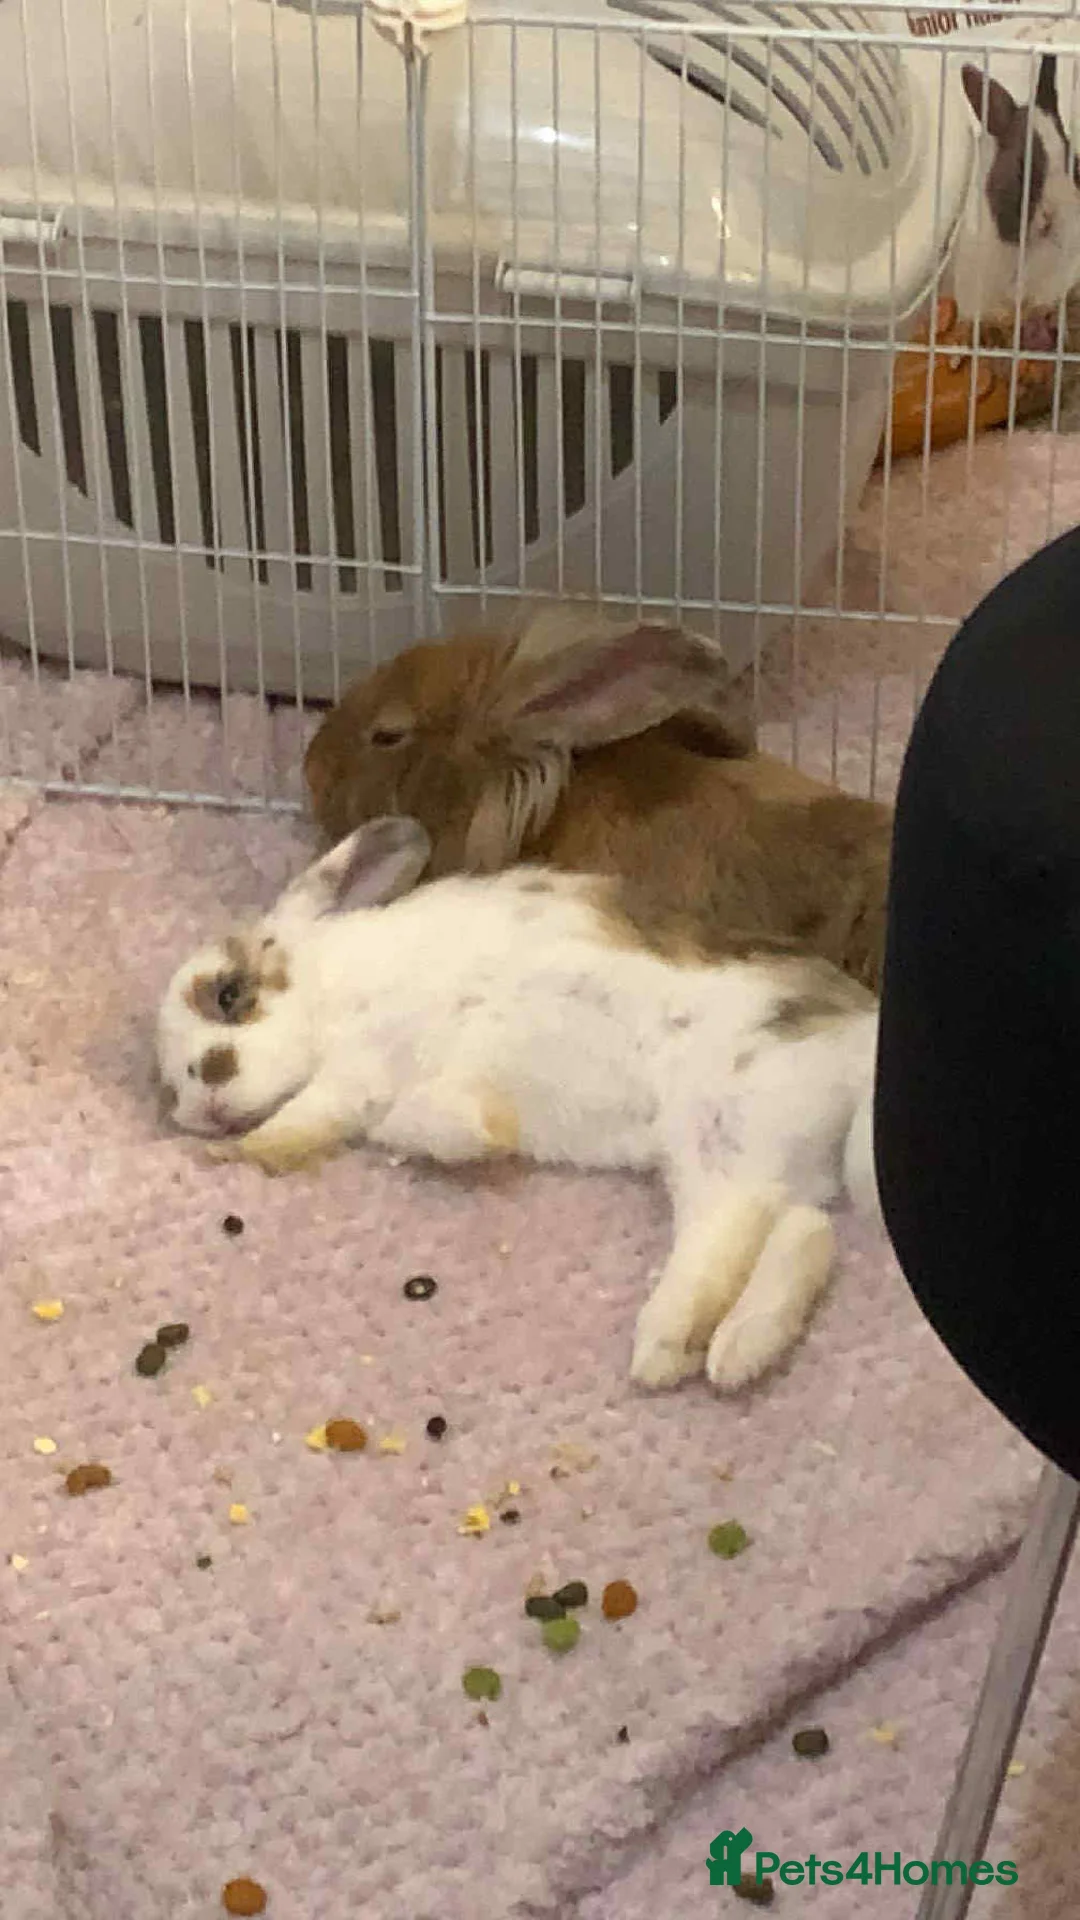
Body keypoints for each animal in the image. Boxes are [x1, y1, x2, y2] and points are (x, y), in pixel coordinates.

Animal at [156, 815, 881, 1392]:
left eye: (228, 993)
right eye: (171, 1087)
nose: (200, 1095)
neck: (331, 989)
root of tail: (860, 1053)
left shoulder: (352, 1073)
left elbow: (305, 1123)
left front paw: (233, 1153)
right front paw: (477, 1128)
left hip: (719, 1121)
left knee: (741, 1236)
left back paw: (674, 1350)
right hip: (722, 1155)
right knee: (795, 1231)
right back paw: (727, 1352)